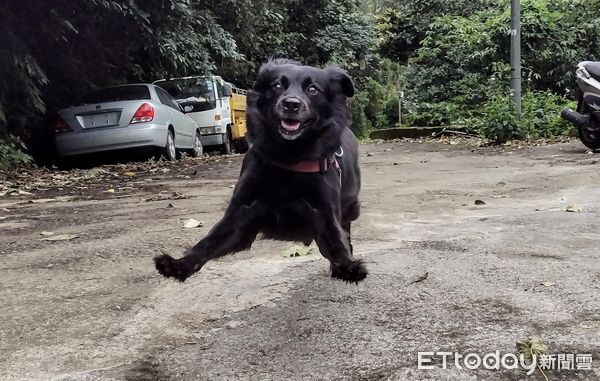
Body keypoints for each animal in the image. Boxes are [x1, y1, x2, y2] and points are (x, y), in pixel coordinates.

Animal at [154, 58, 366, 282]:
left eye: (313, 89)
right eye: (278, 85)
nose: (291, 104)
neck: (288, 157)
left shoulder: (323, 212)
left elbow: (336, 241)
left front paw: (347, 264)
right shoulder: (242, 213)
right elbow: (209, 241)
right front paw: (180, 264)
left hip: (351, 205)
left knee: (346, 228)